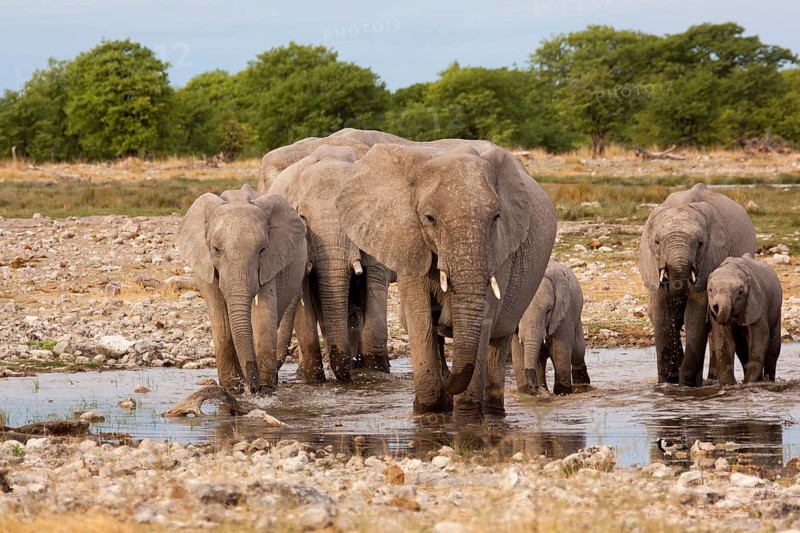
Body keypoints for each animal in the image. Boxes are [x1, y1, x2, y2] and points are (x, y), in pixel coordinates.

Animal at [176, 184, 307, 394]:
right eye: (215, 249)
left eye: (262, 250)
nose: (253, 387)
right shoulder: (204, 265)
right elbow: (219, 316)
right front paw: (231, 387)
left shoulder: (270, 262)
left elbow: (263, 315)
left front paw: (266, 387)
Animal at [335, 141, 557, 422]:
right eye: (430, 218)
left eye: (496, 217)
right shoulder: (407, 239)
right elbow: (420, 317)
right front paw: (431, 411)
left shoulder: (501, 247)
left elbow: (484, 317)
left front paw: (466, 420)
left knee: (499, 341)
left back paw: (493, 413)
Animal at [511, 261, 589, 395]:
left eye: (548, 311)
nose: (534, 387)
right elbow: (517, 350)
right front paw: (526, 393)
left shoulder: (565, 313)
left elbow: (559, 350)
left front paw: (562, 392)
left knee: (578, 352)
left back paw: (583, 385)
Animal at [639, 183, 756, 386]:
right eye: (657, 242)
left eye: (701, 243)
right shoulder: (653, 266)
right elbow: (662, 314)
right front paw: (668, 383)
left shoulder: (711, 258)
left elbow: (696, 315)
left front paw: (687, 385)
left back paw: (712, 380)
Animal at [707, 254, 782, 384]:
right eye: (710, 290)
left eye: (740, 292)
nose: (716, 307)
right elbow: (724, 340)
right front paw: (729, 384)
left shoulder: (756, 303)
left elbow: (759, 339)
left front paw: (749, 383)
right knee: (742, 350)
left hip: (776, 309)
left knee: (773, 346)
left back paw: (769, 380)